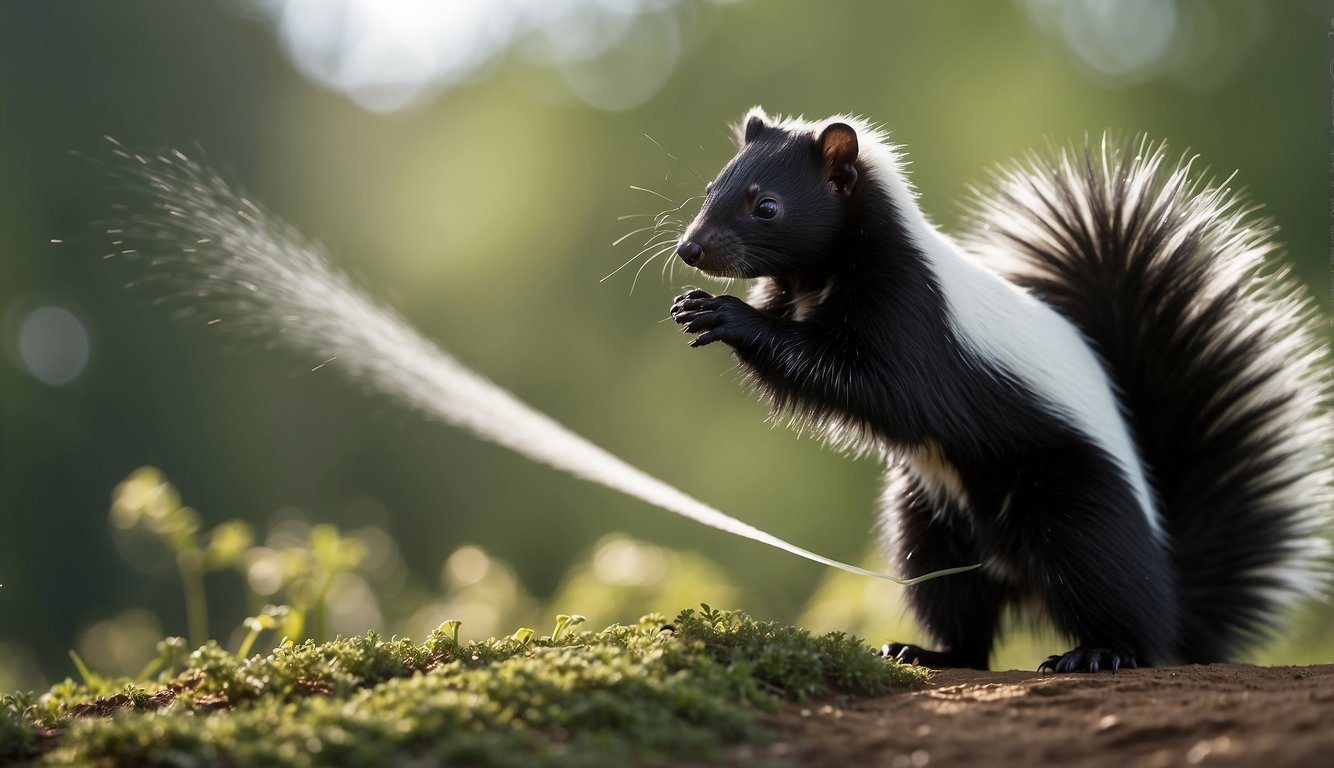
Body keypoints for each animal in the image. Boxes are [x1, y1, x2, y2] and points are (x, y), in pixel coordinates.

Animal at [672, 109, 1328, 672]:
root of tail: (1172, 579)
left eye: (767, 206)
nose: (691, 248)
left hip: (1074, 501)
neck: (817, 277)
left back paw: (1098, 652)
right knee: (956, 599)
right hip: (931, 516)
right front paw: (699, 307)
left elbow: (871, 383)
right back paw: (929, 653)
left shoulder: (910, 317)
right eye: (710, 191)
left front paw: (726, 316)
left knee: (1115, 598)